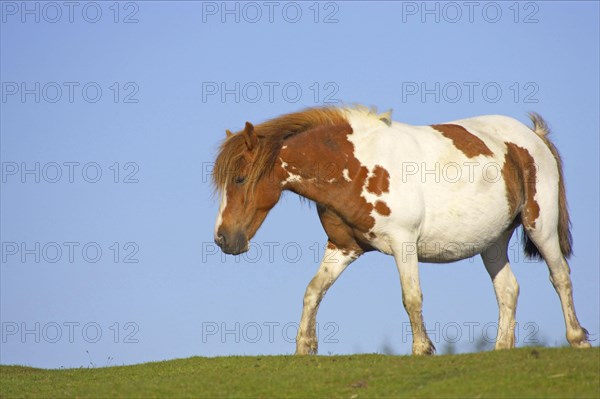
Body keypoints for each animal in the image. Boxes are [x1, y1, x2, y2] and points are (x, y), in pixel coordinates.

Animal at [212, 106, 592, 356]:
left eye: (240, 179)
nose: (223, 239)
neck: (357, 165)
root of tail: (534, 137)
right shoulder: (342, 247)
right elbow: (313, 291)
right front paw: (305, 347)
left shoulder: (404, 242)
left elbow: (411, 297)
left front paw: (422, 348)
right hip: (493, 242)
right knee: (508, 290)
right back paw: (502, 349)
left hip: (540, 225)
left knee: (560, 275)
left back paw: (577, 337)